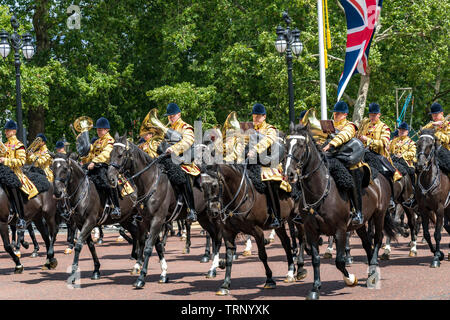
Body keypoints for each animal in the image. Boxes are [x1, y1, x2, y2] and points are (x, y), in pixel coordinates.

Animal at [284, 124, 400, 300]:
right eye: (286, 145)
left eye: (301, 145)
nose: (288, 173)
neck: (321, 191)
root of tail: (381, 175)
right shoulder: (311, 230)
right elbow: (316, 259)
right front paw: (315, 287)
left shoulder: (340, 230)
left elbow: (339, 261)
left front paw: (350, 278)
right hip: (360, 224)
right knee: (367, 244)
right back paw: (370, 272)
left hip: (379, 215)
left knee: (378, 239)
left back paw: (373, 269)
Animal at [414, 128, 450, 268]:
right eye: (418, 144)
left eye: (430, 145)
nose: (420, 165)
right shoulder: (424, 210)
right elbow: (427, 234)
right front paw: (438, 253)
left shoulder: (439, 209)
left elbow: (437, 234)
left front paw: (436, 259)